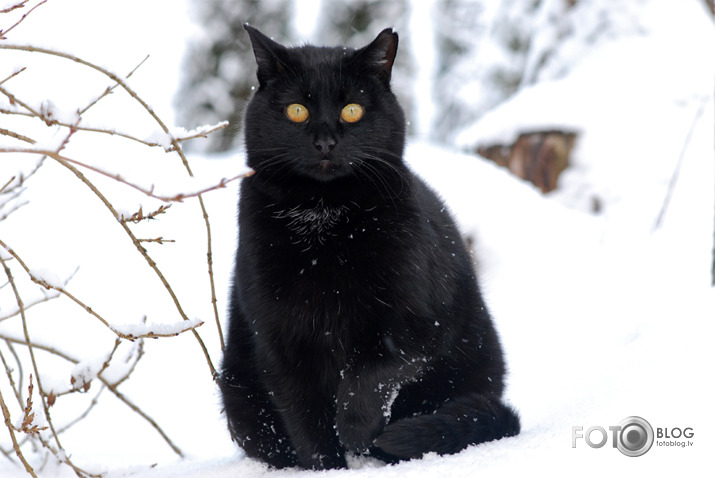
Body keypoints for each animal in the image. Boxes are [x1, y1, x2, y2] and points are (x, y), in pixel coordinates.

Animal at [218, 24, 520, 468]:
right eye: (297, 111)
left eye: (352, 111)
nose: (325, 142)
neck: (324, 217)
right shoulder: (280, 341)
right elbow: (306, 418)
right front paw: (328, 468)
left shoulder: (420, 324)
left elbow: (372, 373)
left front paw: (355, 429)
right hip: (239, 394)